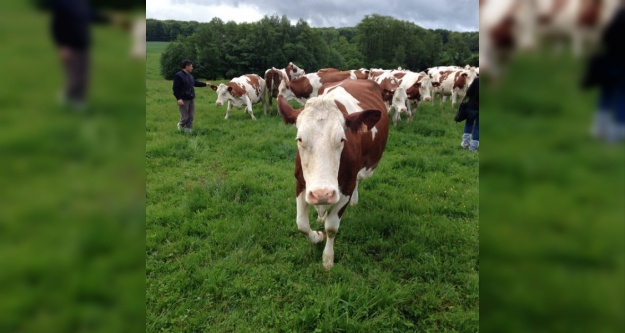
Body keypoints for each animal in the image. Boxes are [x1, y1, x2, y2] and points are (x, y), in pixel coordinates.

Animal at [276, 79, 388, 268]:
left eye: (342, 139)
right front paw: (316, 236)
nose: (323, 194)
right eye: (300, 139)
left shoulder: (346, 186)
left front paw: (328, 258)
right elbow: (302, 224)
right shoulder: (300, 182)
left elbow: (331, 227)